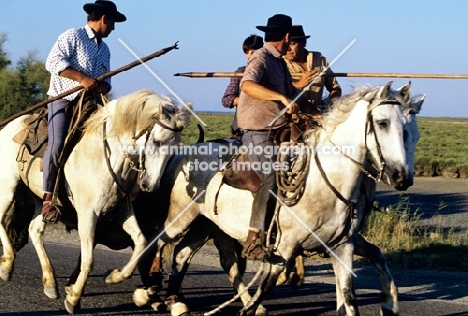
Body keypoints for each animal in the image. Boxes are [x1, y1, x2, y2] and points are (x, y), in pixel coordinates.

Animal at [0, 88, 192, 314]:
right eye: (156, 141)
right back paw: (7, 265)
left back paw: (50, 282)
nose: (150, 185)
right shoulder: (88, 215)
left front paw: (115, 277)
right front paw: (74, 298)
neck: (106, 156)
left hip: (40, 199)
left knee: (35, 231)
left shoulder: (123, 211)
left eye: (175, 147)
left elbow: (141, 242)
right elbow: (88, 260)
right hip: (8, 187)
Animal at [134, 82, 414, 316]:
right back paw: (148, 292)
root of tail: (185, 153)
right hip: (181, 218)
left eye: (408, 128)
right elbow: (265, 288)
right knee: (158, 241)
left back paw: (174, 301)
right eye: (382, 122)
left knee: (184, 255)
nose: (401, 176)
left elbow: (350, 293)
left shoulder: (343, 246)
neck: (325, 183)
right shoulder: (284, 248)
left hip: (206, 225)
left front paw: (389, 304)